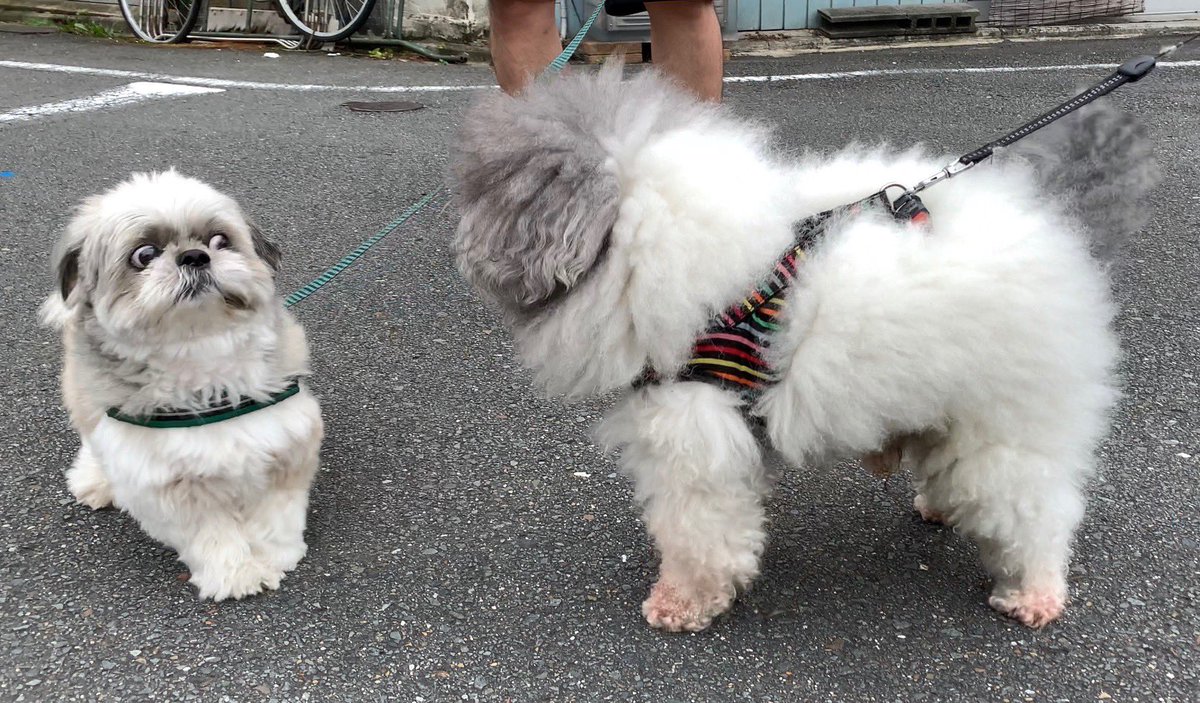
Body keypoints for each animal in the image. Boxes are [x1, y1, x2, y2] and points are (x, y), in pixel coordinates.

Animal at [42, 167, 324, 597]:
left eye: (220, 240)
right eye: (144, 255)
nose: (195, 255)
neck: (201, 352)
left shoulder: (285, 444)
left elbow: (275, 516)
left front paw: (276, 556)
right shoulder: (167, 485)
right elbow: (212, 534)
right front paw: (235, 574)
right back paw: (94, 480)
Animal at [451, 62, 1152, 628]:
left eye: (485, 194)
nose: (459, 249)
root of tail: (1059, 235)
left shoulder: (690, 432)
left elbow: (696, 531)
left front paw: (681, 603)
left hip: (1009, 425)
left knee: (1038, 512)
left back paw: (1034, 593)